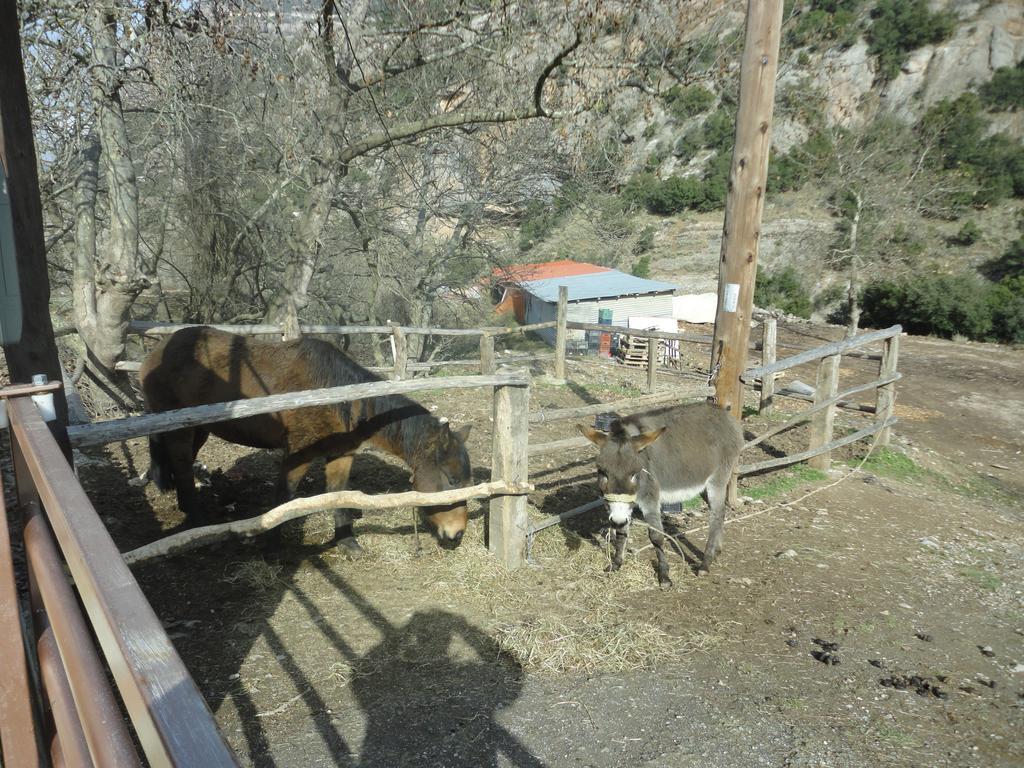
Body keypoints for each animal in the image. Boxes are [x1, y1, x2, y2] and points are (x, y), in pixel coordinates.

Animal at [138, 327, 473, 557]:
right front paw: (271, 548)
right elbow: (283, 498)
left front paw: (347, 543)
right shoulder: (297, 455)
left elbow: (340, 496)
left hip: (198, 430)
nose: (457, 534)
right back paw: (197, 526)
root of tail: (156, 351)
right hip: (181, 432)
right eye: (452, 480)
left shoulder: (341, 455)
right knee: (182, 469)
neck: (336, 396)